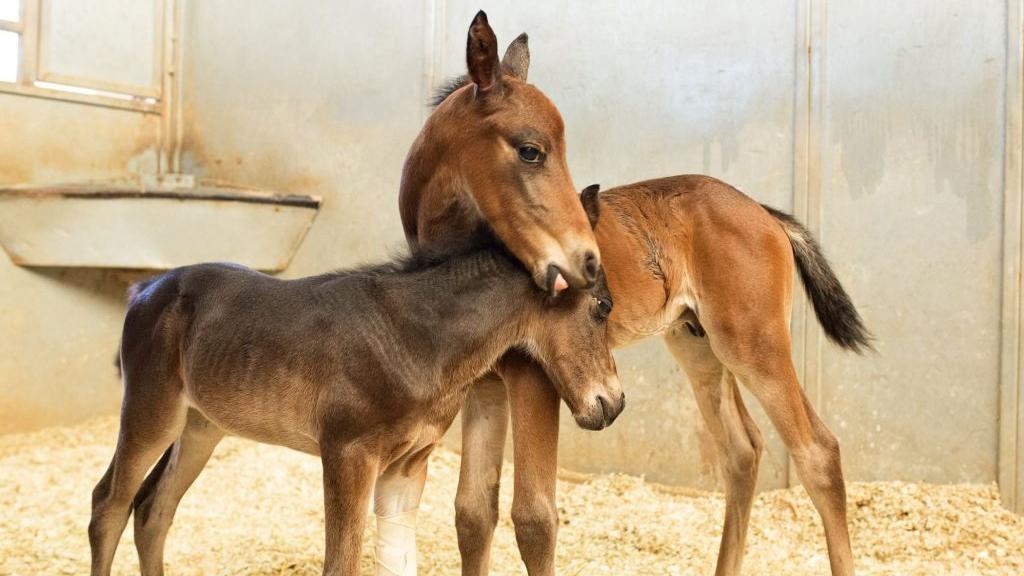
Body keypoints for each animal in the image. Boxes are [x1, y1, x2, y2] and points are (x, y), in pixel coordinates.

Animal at [395, 13, 868, 573]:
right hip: (697, 346)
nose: (586, 262)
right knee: (743, 450)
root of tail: (765, 213)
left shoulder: (536, 376)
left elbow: (534, 518)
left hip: (754, 343)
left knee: (818, 451)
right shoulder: (485, 384)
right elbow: (471, 513)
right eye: (530, 150)